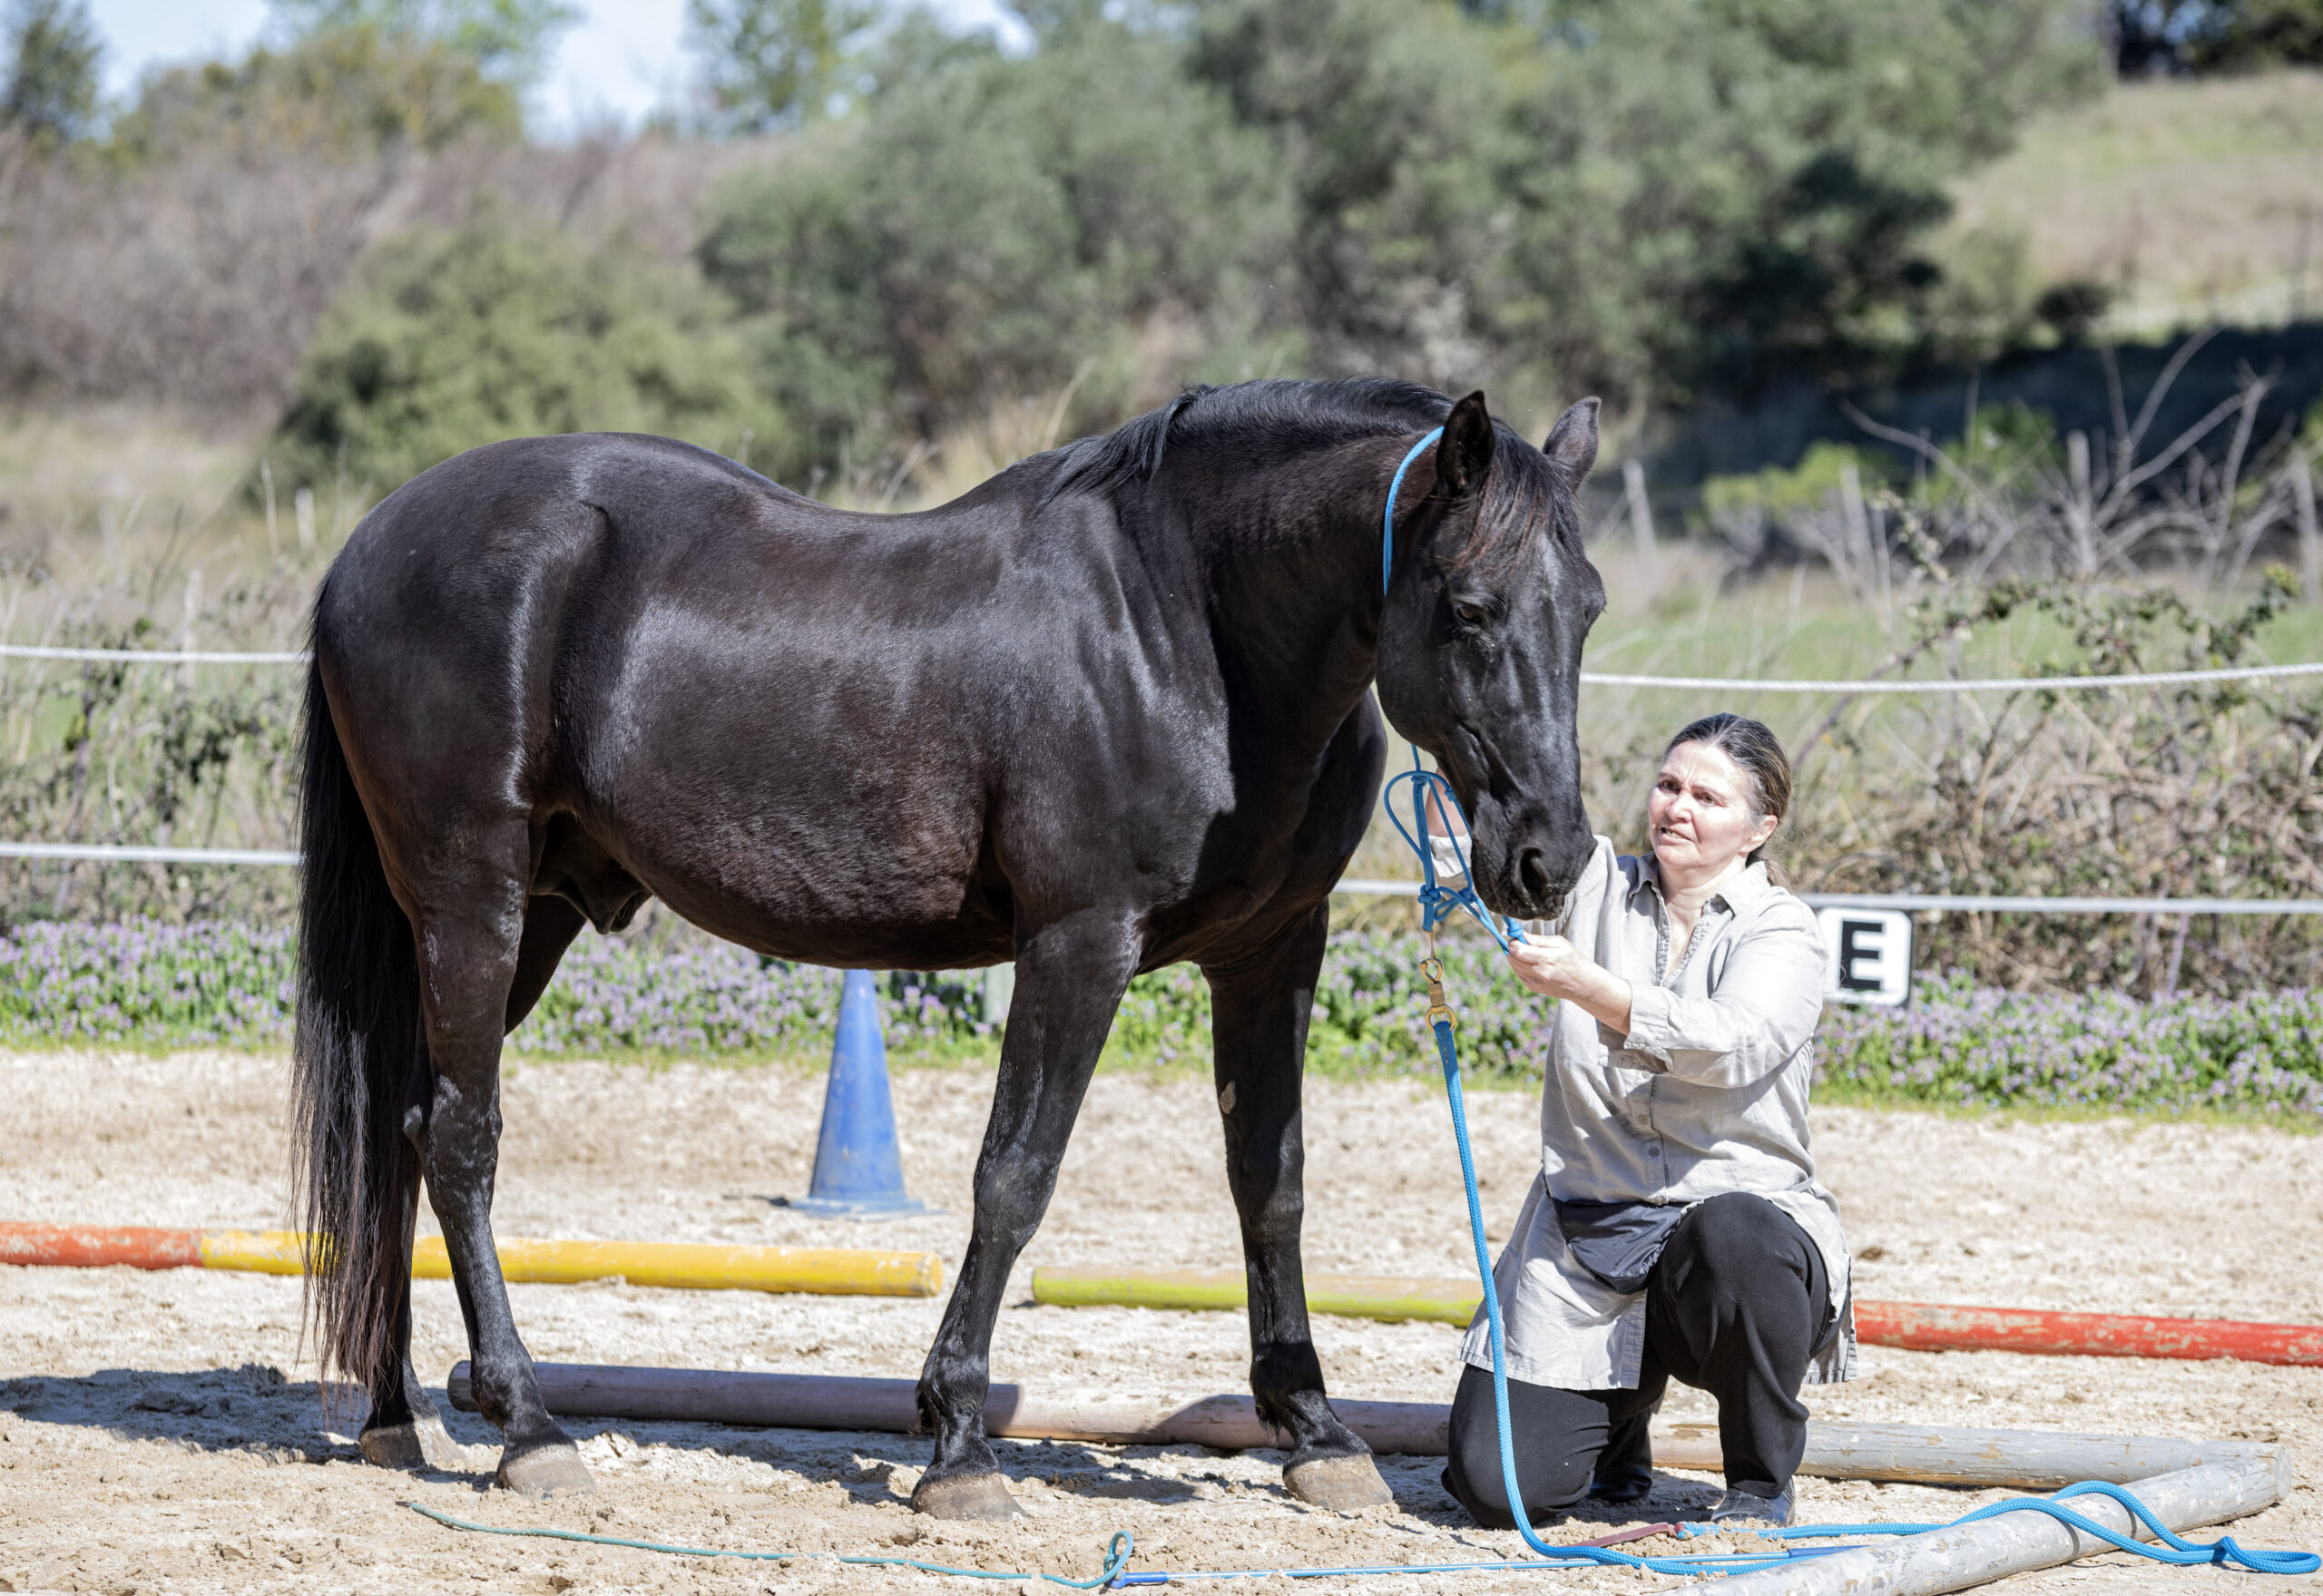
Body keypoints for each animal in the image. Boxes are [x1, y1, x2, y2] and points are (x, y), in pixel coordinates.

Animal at [285, 378, 1598, 1523]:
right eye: (1468, 606)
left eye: (1584, 607)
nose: (1552, 857)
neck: (1182, 629)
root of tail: (367, 545)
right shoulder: (1078, 943)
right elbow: (1013, 1176)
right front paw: (959, 1439)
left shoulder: (1272, 952)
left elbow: (1269, 1182)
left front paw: (1316, 1431)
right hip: (472, 900)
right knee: (463, 1141)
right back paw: (528, 1426)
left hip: (526, 915)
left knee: (406, 1130)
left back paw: (396, 1413)